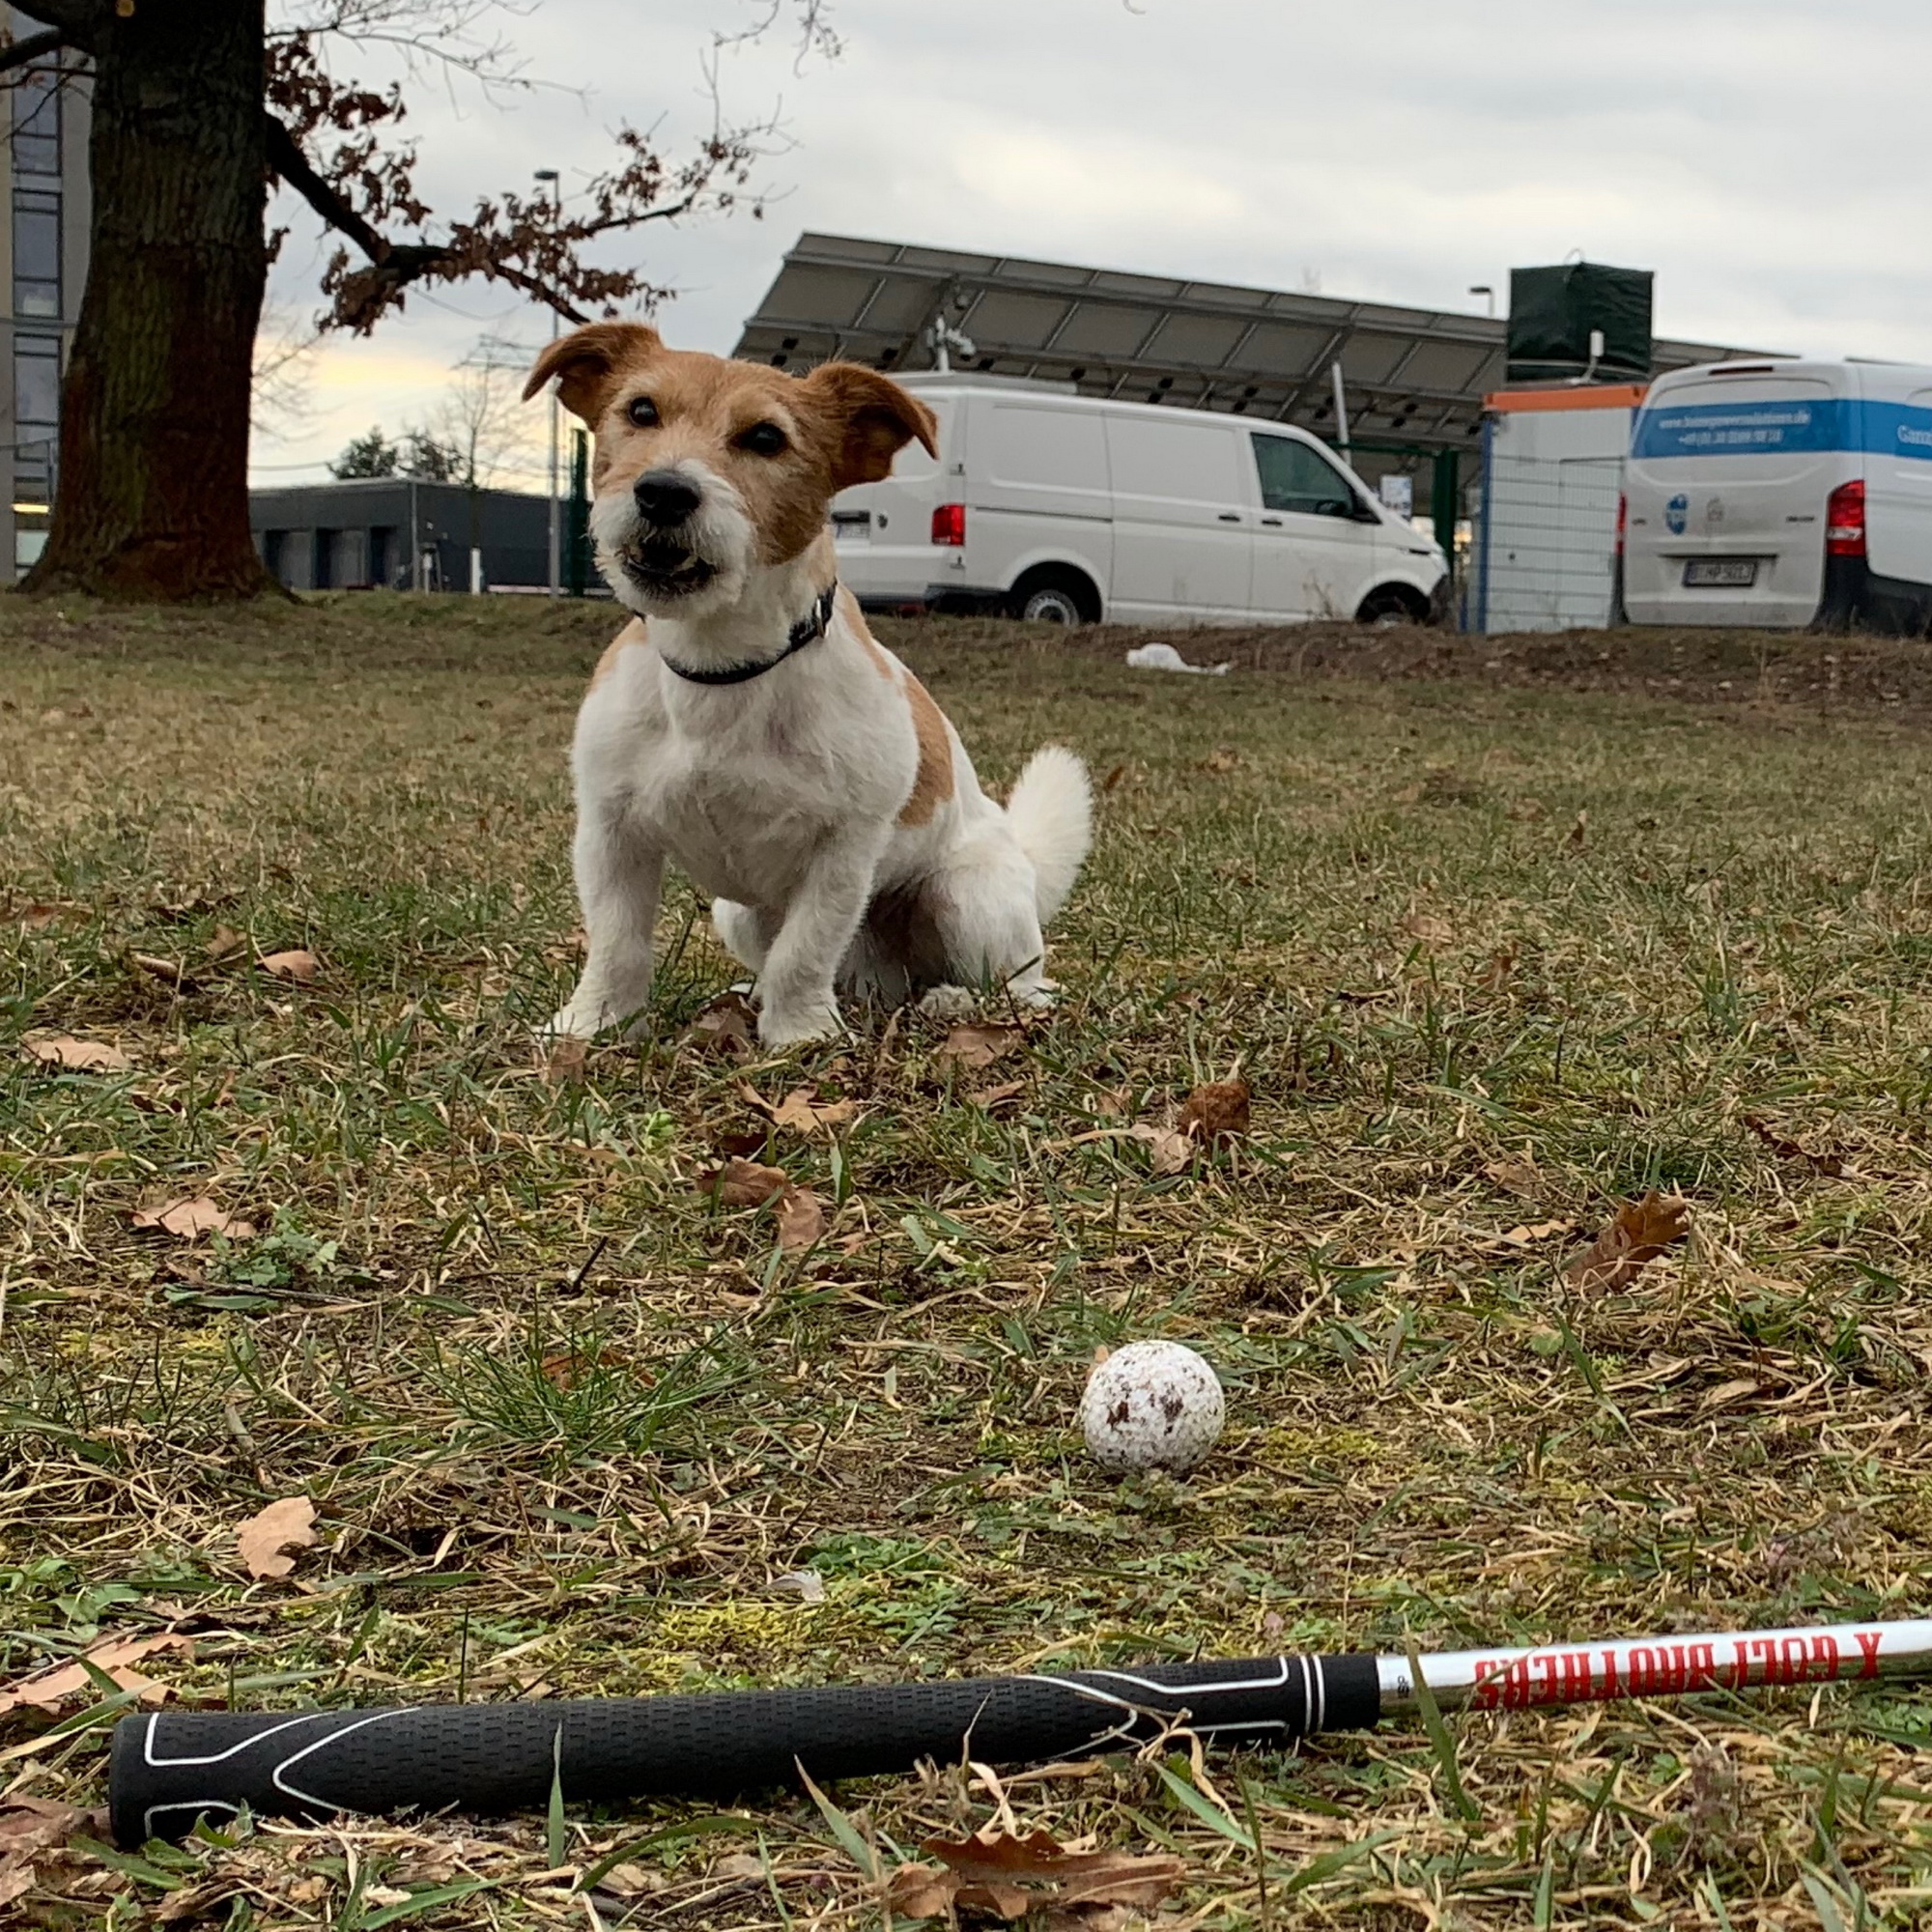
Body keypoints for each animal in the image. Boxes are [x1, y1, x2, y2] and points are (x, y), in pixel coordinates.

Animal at [523, 323, 1093, 1049]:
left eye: (766, 437)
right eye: (641, 410)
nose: (664, 491)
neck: (723, 667)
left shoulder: (842, 849)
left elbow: (807, 947)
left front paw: (798, 1033)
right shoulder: (610, 831)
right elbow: (616, 942)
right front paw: (592, 1023)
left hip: (968, 900)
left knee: (1027, 987)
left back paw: (953, 1002)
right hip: (736, 913)